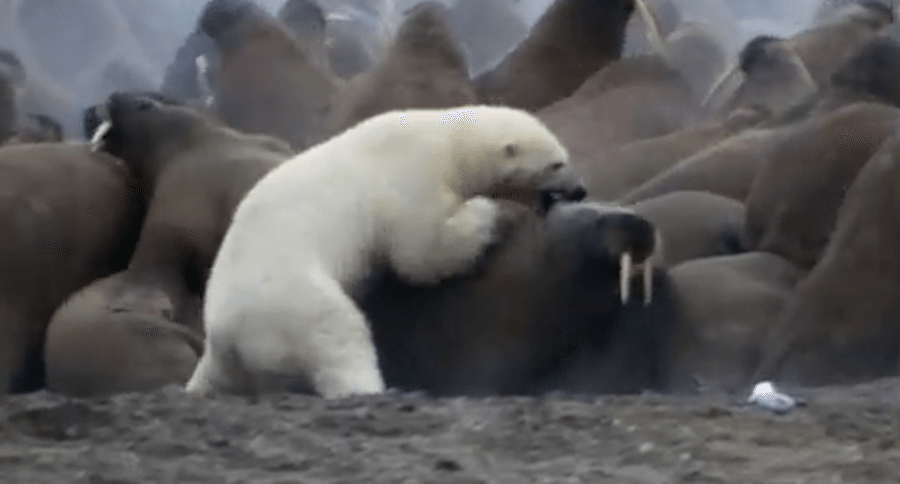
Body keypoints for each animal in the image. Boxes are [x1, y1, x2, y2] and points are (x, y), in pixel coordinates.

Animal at [185, 105, 588, 399]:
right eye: (557, 163)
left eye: (566, 157)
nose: (581, 190)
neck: (450, 139)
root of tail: (221, 333)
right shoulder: (412, 177)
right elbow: (420, 252)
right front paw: (495, 213)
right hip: (287, 298)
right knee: (336, 333)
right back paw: (371, 388)